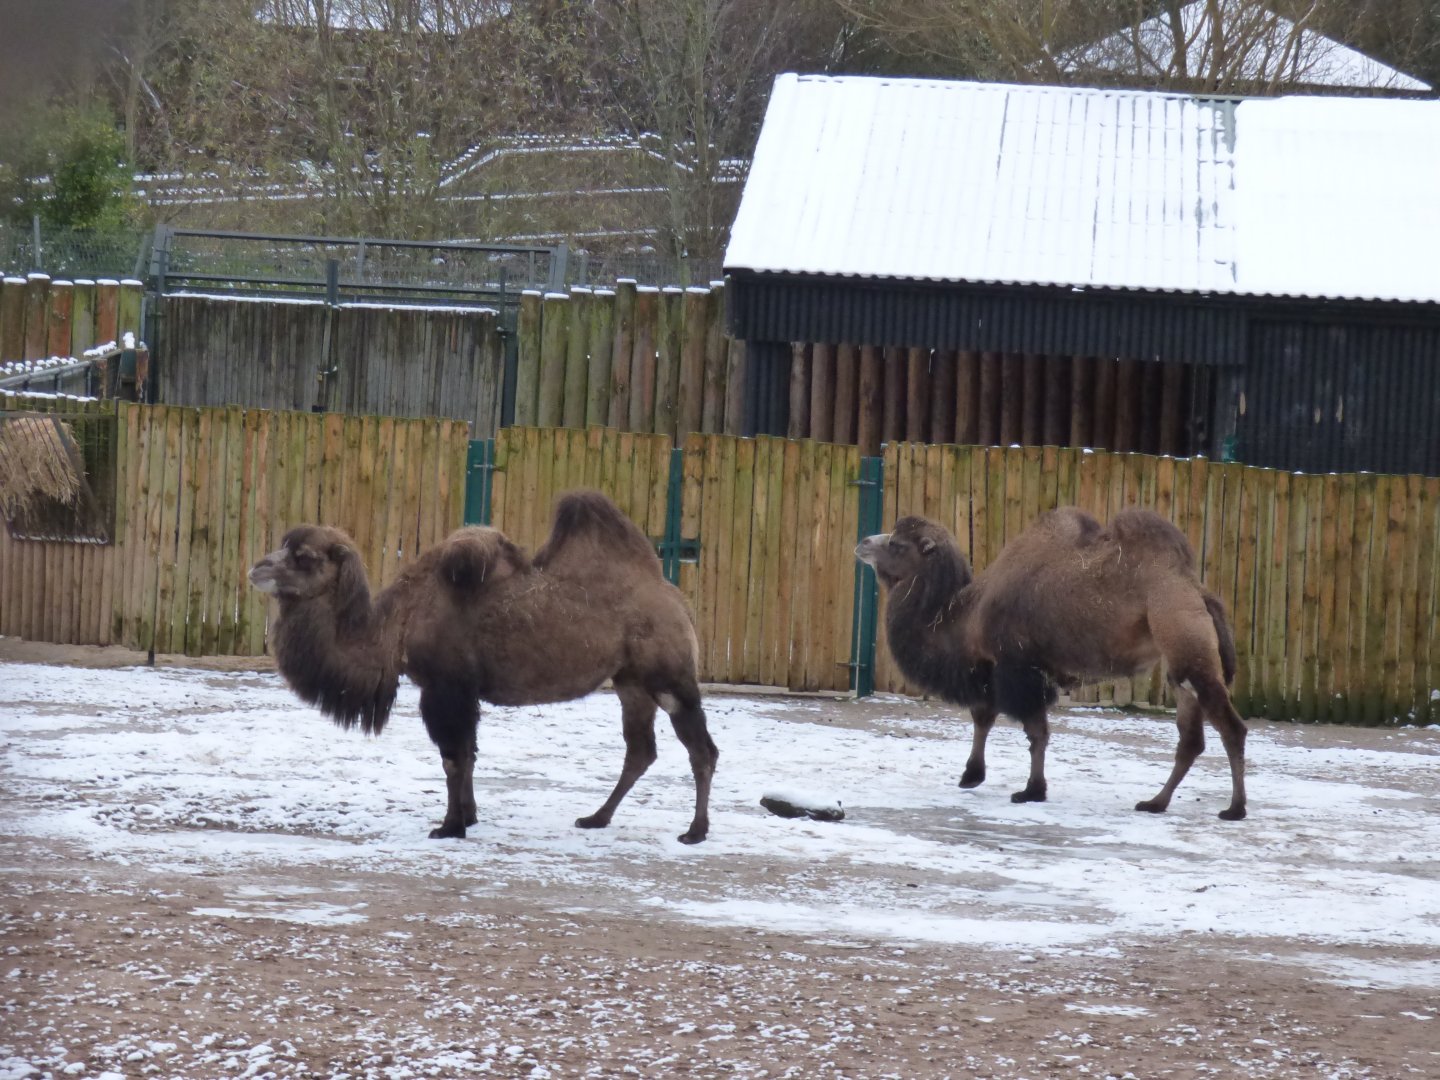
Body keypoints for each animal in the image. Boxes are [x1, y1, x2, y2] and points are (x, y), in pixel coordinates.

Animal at [248, 490, 718, 844]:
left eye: (304, 556)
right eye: (286, 547)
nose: (257, 567)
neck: (396, 625)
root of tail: (678, 601)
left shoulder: (444, 687)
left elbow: (453, 758)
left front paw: (450, 827)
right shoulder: (464, 691)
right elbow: (470, 754)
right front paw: (470, 817)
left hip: (668, 676)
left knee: (701, 749)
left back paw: (694, 832)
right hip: (630, 682)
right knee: (641, 749)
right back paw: (596, 818)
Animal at [856, 507, 1247, 820]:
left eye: (897, 544)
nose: (862, 543)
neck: (964, 616)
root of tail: (1199, 591)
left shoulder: (1017, 668)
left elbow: (1035, 733)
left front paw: (1031, 791)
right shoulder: (994, 669)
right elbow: (985, 718)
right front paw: (971, 776)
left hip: (1184, 638)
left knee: (1231, 728)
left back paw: (1234, 809)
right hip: (1179, 663)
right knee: (1191, 739)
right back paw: (1154, 803)